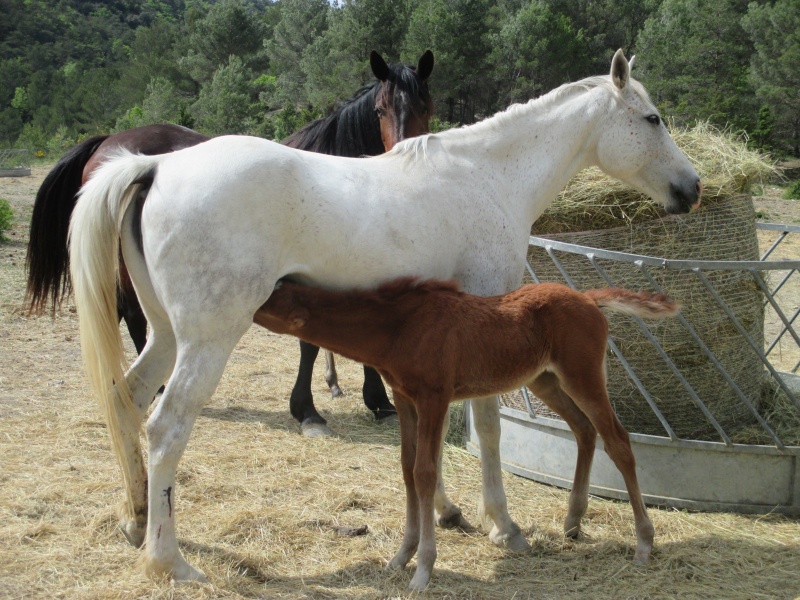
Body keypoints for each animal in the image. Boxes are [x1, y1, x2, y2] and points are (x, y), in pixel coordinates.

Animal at [25, 50, 434, 436]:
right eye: (380, 109)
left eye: (425, 106)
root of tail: (106, 144)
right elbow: (312, 343)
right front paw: (310, 410)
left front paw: (376, 401)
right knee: (131, 315)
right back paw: (154, 390)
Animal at [72, 51, 704, 584]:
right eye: (652, 119)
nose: (692, 188)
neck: (488, 176)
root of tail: (155, 167)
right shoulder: (486, 313)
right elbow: (486, 427)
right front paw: (501, 525)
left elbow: (426, 450)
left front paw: (443, 515)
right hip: (207, 341)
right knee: (165, 426)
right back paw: (170, 561)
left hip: (166, 335)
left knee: (127, 400)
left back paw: (134, 518)